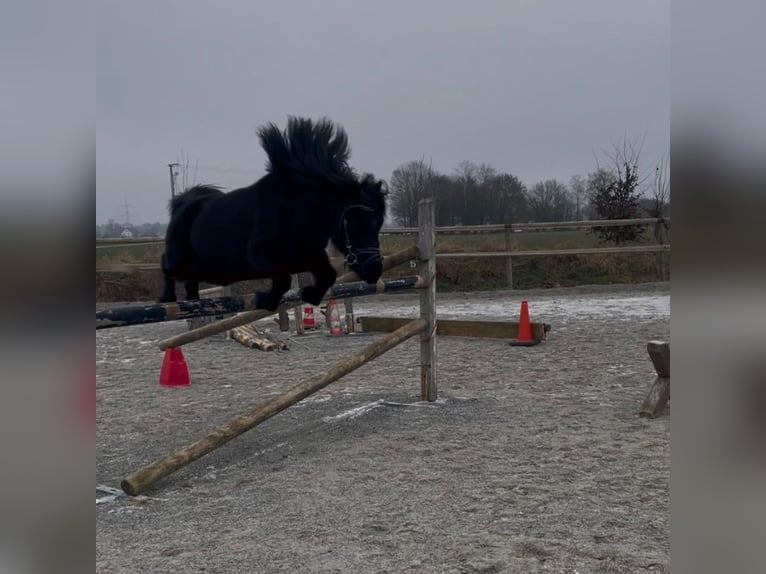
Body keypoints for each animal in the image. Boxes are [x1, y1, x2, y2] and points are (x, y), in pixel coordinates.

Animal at [162, 117, 390, 312]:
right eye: (352, 222)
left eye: (378, 223)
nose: (374, 270)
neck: (296, 213)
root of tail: (184, 202)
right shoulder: (260, 256)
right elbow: (283, 280)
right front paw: (266, 300)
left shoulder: (309, 255)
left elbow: (328, 276)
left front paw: (310, 295)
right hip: (181, 262)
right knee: (166, 265)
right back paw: (168, 299)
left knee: (189, 281)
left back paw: (193, 300)